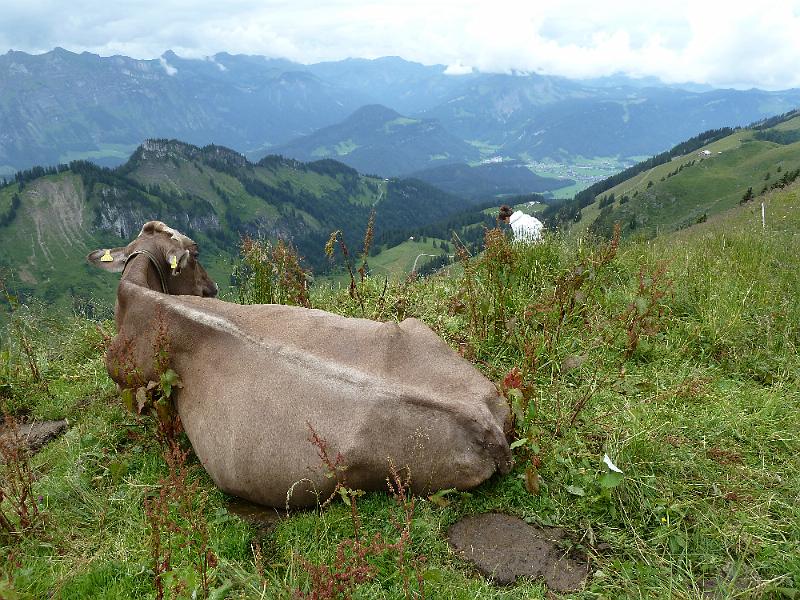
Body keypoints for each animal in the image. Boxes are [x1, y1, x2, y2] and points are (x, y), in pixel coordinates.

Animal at [87, 220, 512, 506]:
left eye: (196, 249)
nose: (211, 289)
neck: (139, 295)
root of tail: (483, 419)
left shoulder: (131, 380)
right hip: (417, 329)